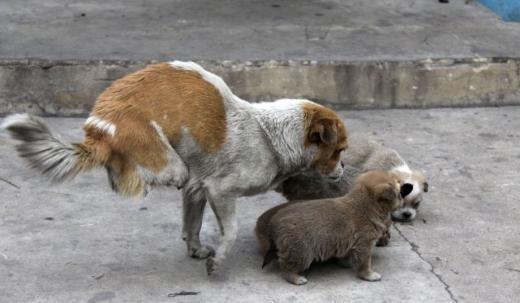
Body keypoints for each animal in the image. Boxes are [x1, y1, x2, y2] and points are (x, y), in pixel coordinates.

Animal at [3, 61, 350, 276]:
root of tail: (99, 130)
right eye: (339, 151)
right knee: (156, 175)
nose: (344, 167)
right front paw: (218, 260)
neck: (268, 136)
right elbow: (230, 229)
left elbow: (192, 224)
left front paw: (195, 249)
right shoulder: (220, 190)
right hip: (163, 160)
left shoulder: (199, 187)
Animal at [256, 172, 410, 286]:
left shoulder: (352, 244)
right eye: (399, 190)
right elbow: (365, 263)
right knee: (285, 266)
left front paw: (345, 263)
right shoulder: (365, 245)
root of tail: (274, 222)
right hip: (302, 252)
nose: (407, 186)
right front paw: (369, 275)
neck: (366, 205)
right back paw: (296, 278)